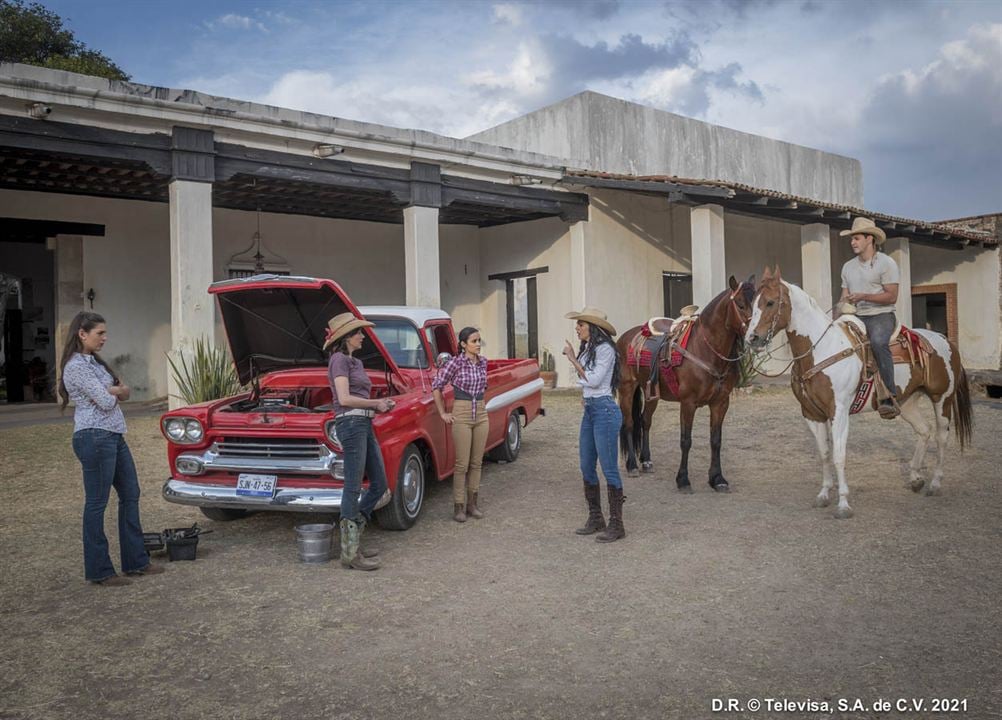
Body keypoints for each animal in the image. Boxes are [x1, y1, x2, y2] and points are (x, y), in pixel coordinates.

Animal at [613, 272, 753, 492]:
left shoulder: (721, 402)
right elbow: (686, 440)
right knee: (629, 423)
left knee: (645, 421)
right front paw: (683, 479)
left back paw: (646, 461)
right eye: (739, 304)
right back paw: (632, 465)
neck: (705, 349)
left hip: (651, 393)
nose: (756, 335)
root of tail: (626, 337)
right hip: (627, 389)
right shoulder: (688, 403)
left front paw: (717, 479)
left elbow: (716, 440)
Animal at [745, 268, 969, 516]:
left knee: (941, 437)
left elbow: (839, 455)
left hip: (942, 399)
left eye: (770, 302)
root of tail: (944, 339)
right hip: (907, 402)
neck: (821, 350)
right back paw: (915, 478)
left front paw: (843, 503)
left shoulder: (839, 411)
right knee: (923, 431)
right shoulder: (811, 414)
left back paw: (935, 483)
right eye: (752, 303)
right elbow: (824, 454)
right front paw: (824, 494)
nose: (752, 338)